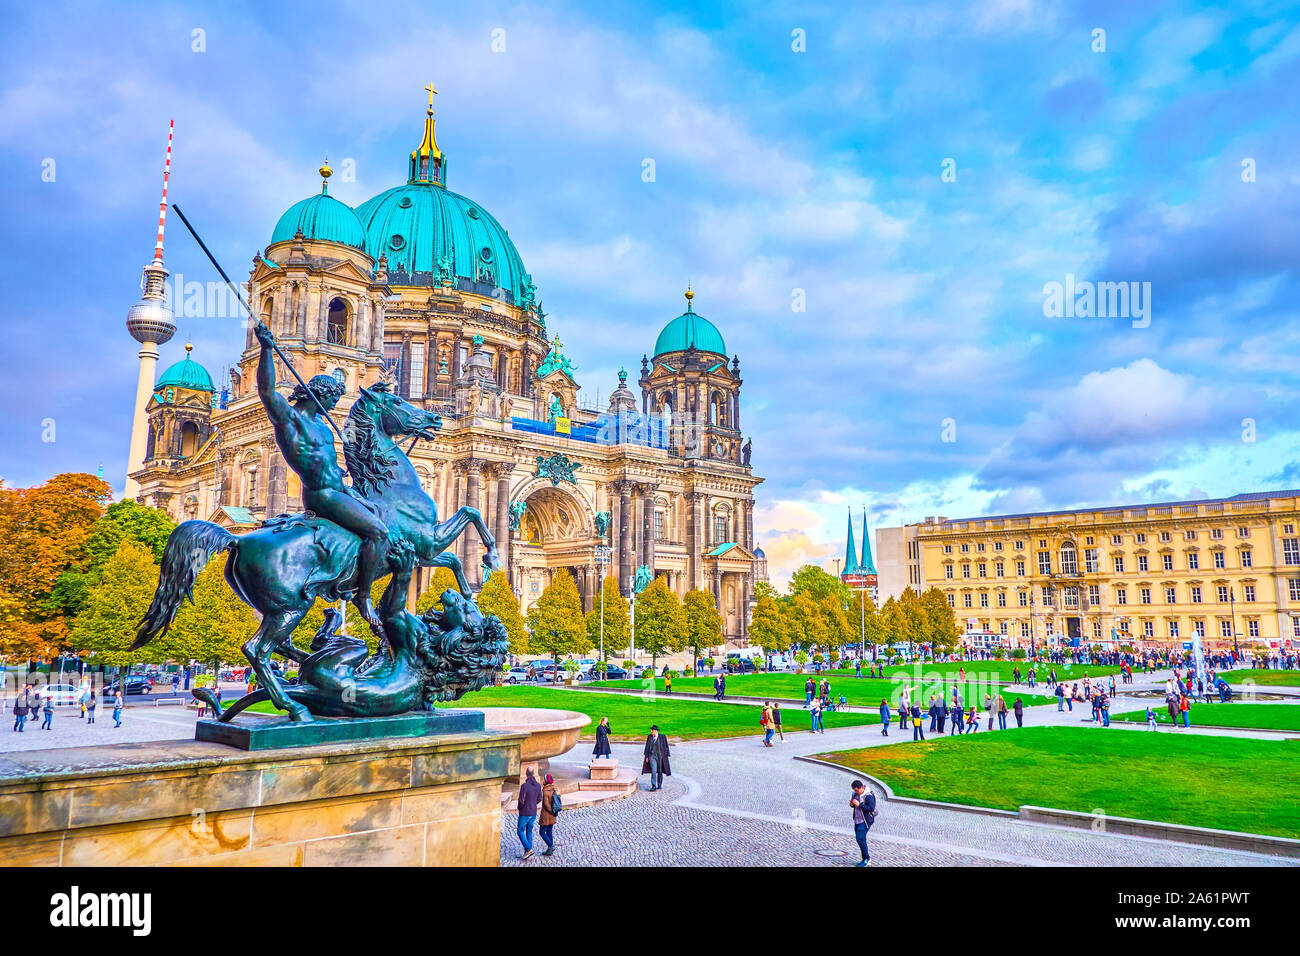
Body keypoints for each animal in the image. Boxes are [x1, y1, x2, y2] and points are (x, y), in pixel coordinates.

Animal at [133, 385, 496, 723]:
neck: (392, 489)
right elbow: (469, 520)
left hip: (279, 607)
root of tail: (238, 540)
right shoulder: (426, 543)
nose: (435, 418)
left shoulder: (423, 551)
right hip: (290, 607)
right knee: (258, 649)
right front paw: (483, 571)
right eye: (396, 402)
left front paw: (475, 586)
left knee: (281, 647)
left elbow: (461, 541)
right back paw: (295, 705)